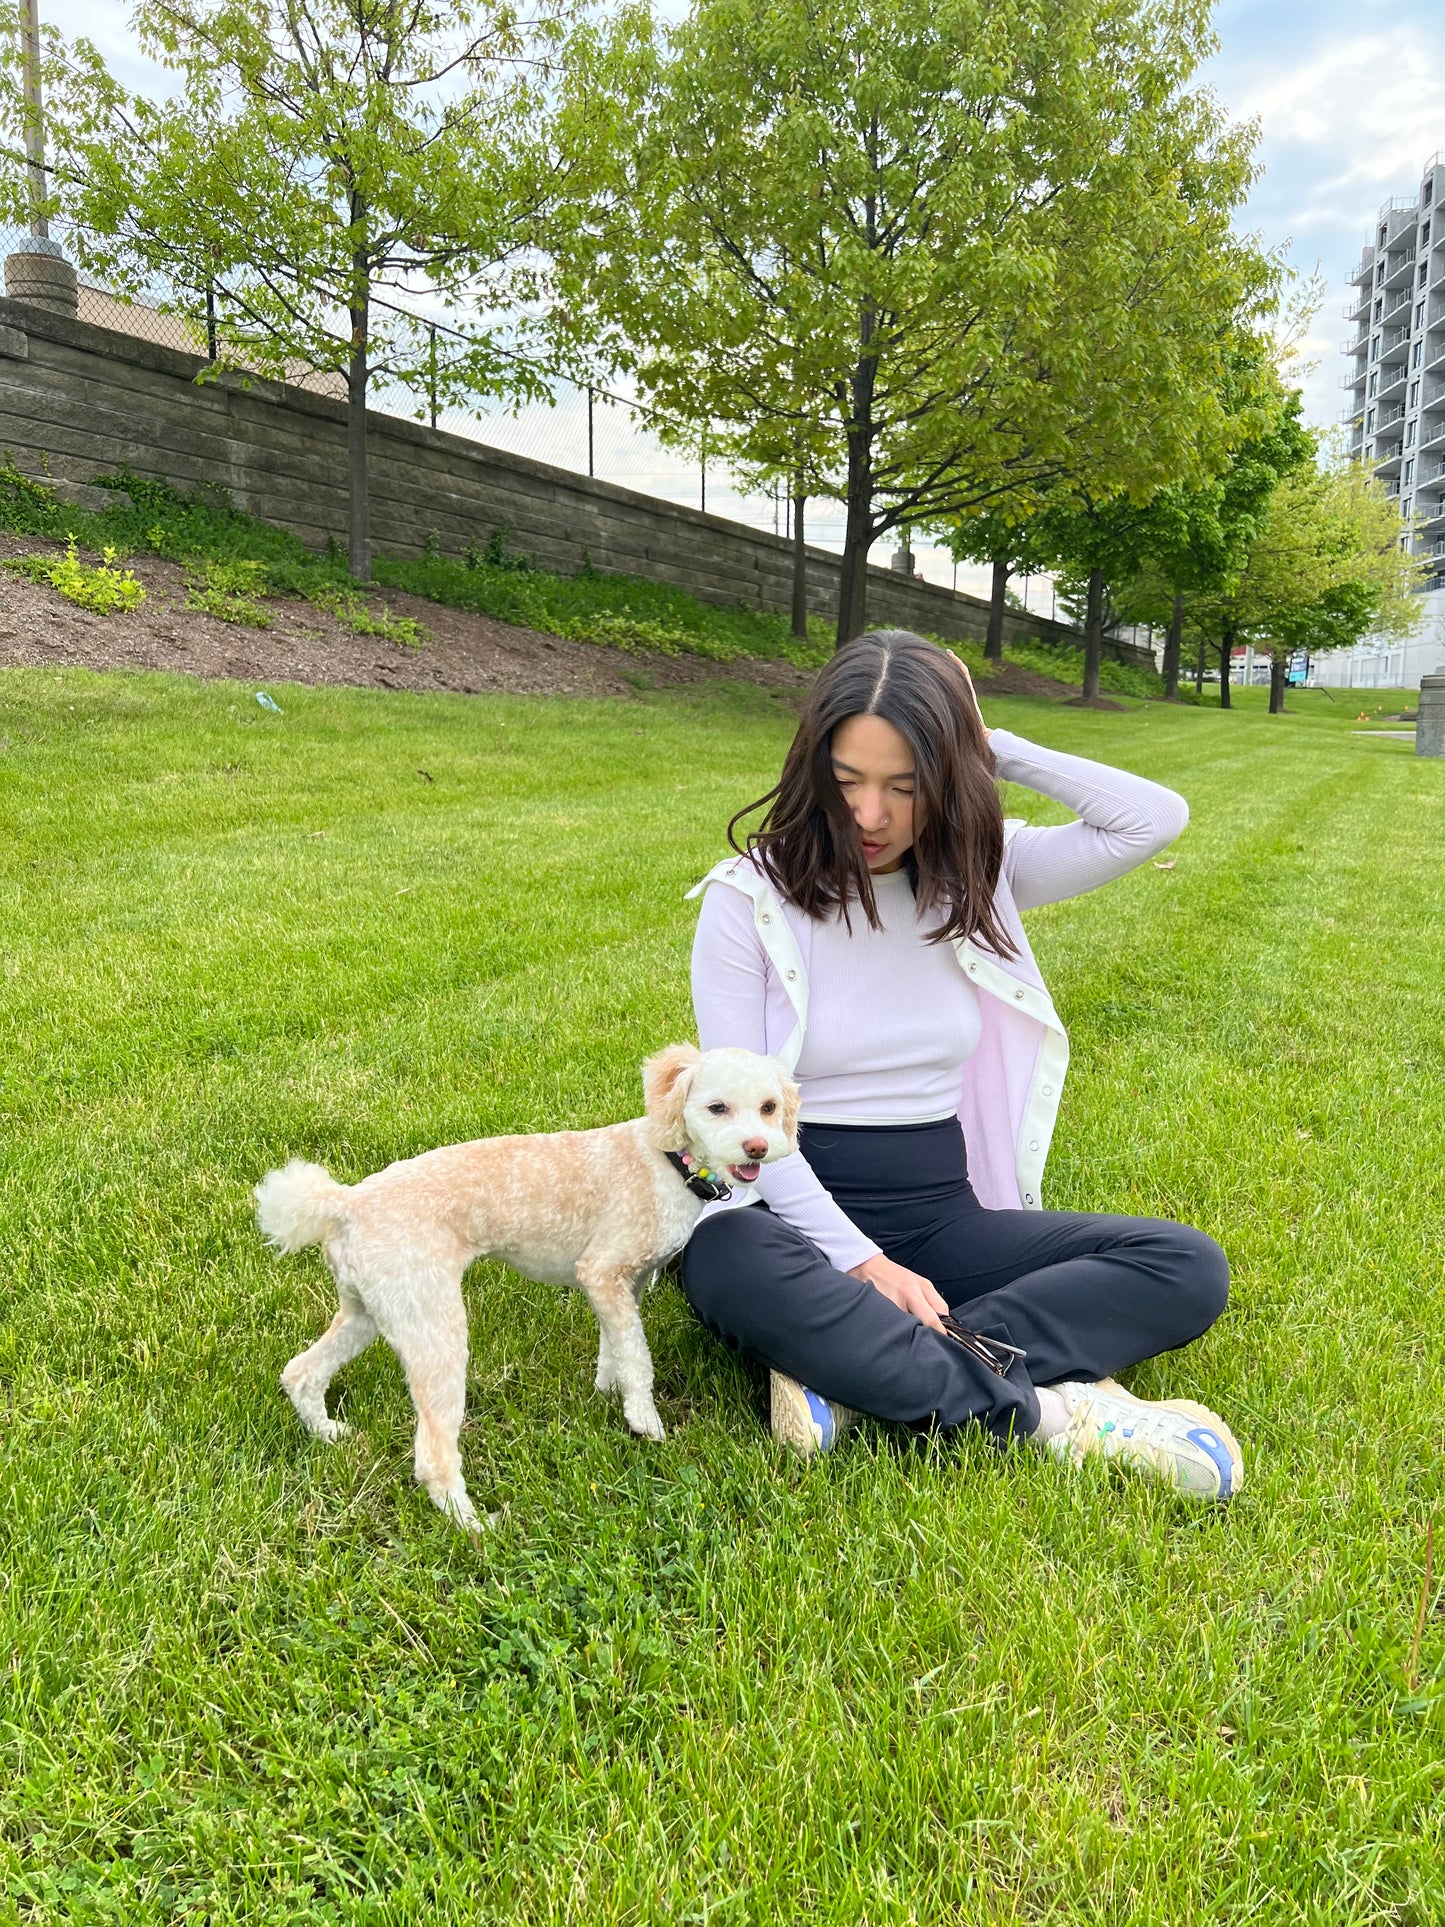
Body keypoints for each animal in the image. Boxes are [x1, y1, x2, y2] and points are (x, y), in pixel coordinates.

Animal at [260, 1048, 805, 1526]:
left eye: (768, 1107)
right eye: (717, 1107)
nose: (757, 1147)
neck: (667, 1160)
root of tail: (345, 1203)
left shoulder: (619, 1287)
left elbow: (614, 1346)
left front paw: (606, 1390)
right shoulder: (603, 1270)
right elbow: (637, 1358)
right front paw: (643, 1421)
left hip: (374, 1308)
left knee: (300, 1372)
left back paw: (328, 1433)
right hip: (434, 1327)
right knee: (433, 1455)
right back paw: (473, 1526)